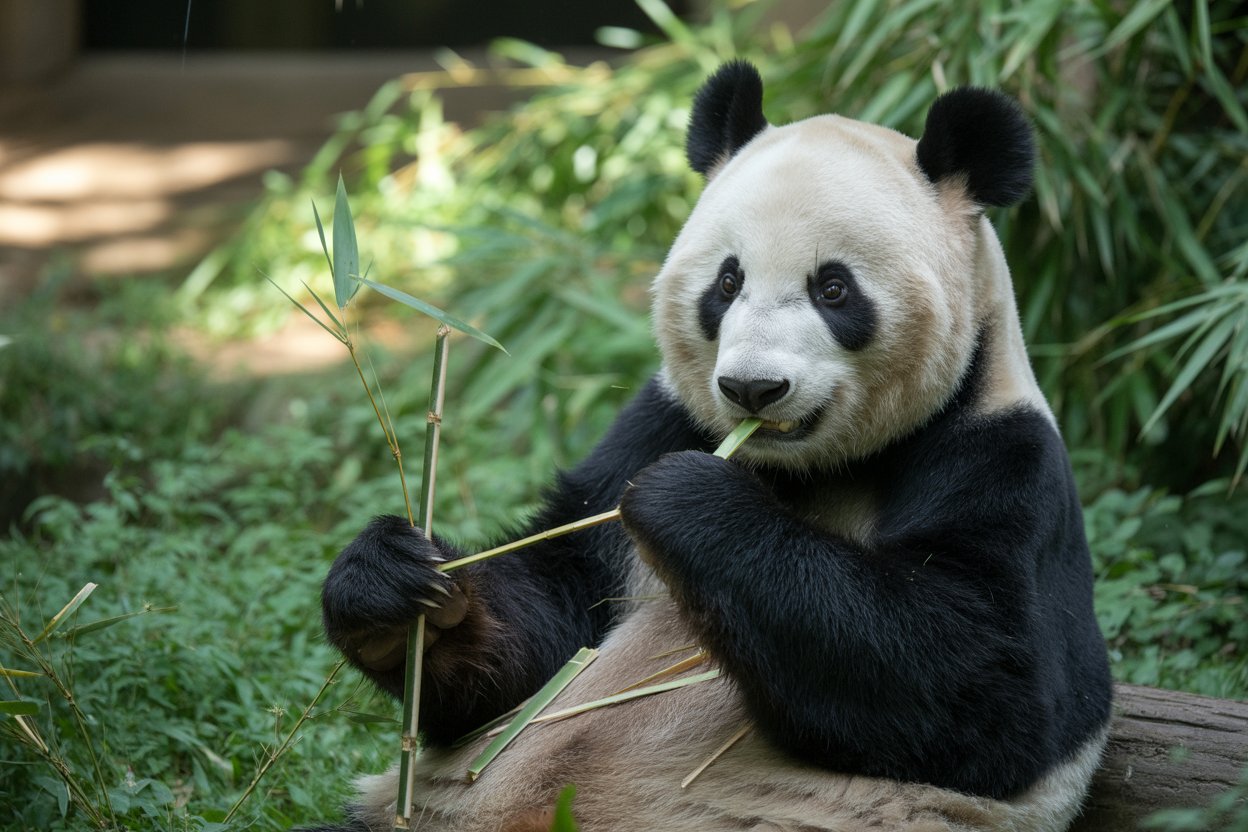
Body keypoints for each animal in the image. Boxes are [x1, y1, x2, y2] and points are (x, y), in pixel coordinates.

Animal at [309, 61, 1113, 832]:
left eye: (834, 288)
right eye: (727, 282)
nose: (753, 389)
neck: (800, 469)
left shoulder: (999, 455)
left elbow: (988, 688)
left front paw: (688, 500)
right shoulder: (660, 419)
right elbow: (551, 629)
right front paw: (395, 592)